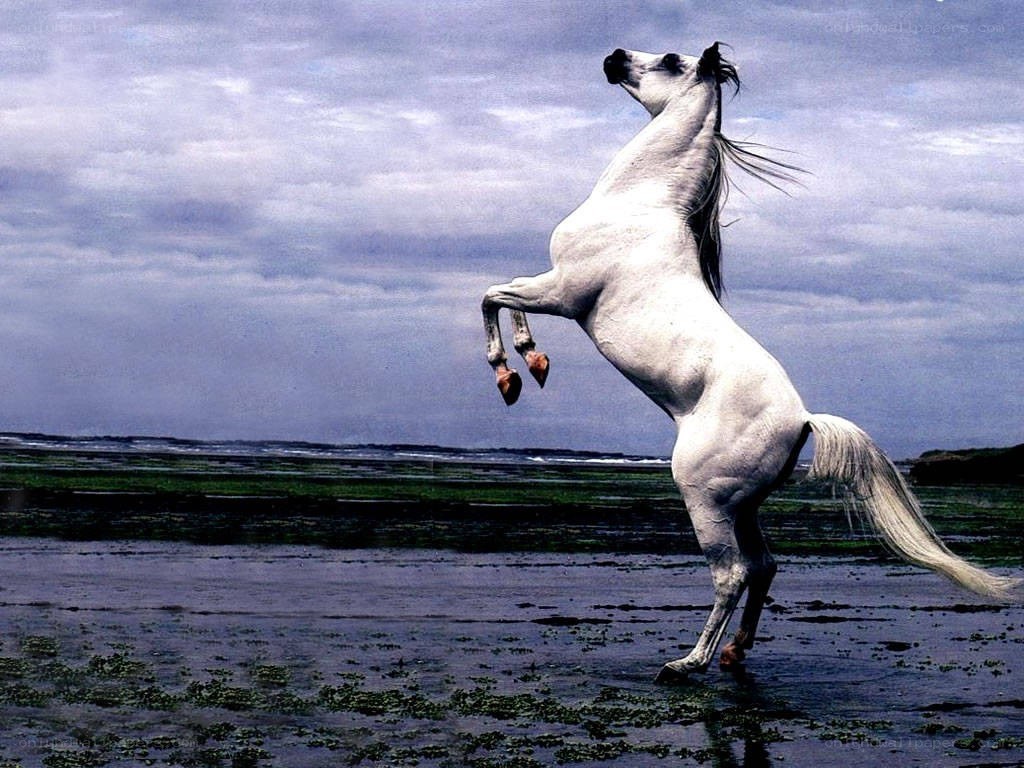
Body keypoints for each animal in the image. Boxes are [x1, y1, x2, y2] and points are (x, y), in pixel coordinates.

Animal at [481, 43, 1020, 681]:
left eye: (670, 60)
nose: (614, 57)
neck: (638, 204)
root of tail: (803, 420)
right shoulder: (553, 289)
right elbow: (499, 295)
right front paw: (528, 367)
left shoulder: (564, 293)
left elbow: (493, 295)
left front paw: (517, 369)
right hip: (744, 506)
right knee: (764, 567)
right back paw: (735, 652)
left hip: (704, 499)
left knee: (731, 573)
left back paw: (687, 662)